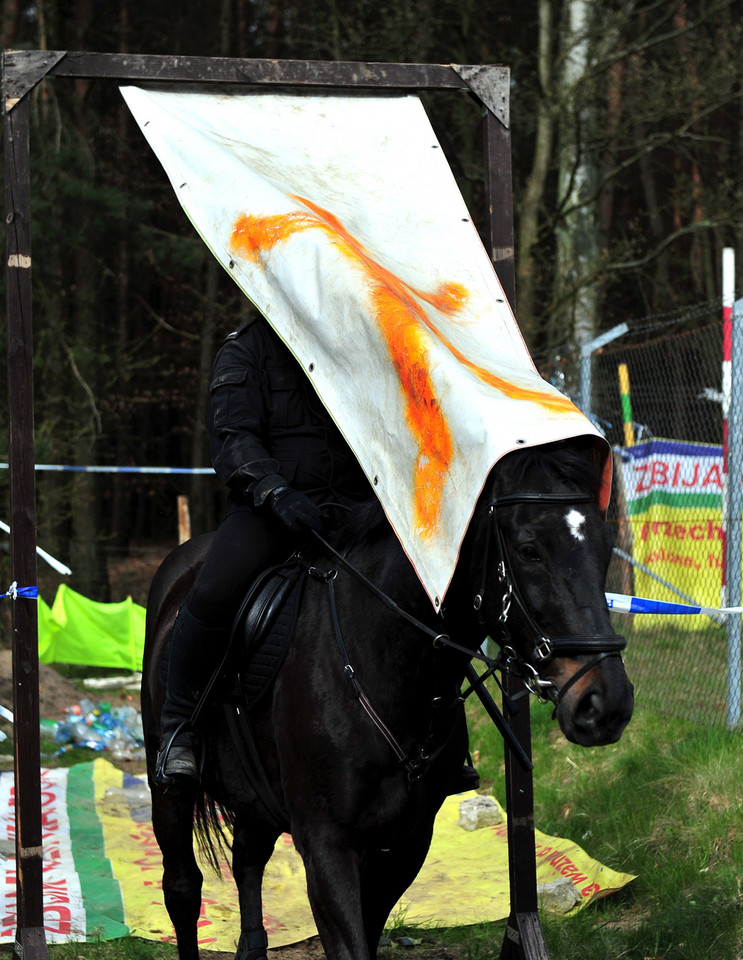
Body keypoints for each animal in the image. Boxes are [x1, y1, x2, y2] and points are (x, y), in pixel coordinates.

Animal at [142, 438, 636, 960]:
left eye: (604, 549)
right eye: (528, 549)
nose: (606, 704)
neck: (384, 661)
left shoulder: (406, 842)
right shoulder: (326, 844)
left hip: (256, 800)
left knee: (248, 861)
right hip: (169, 787)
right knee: (182, 887)